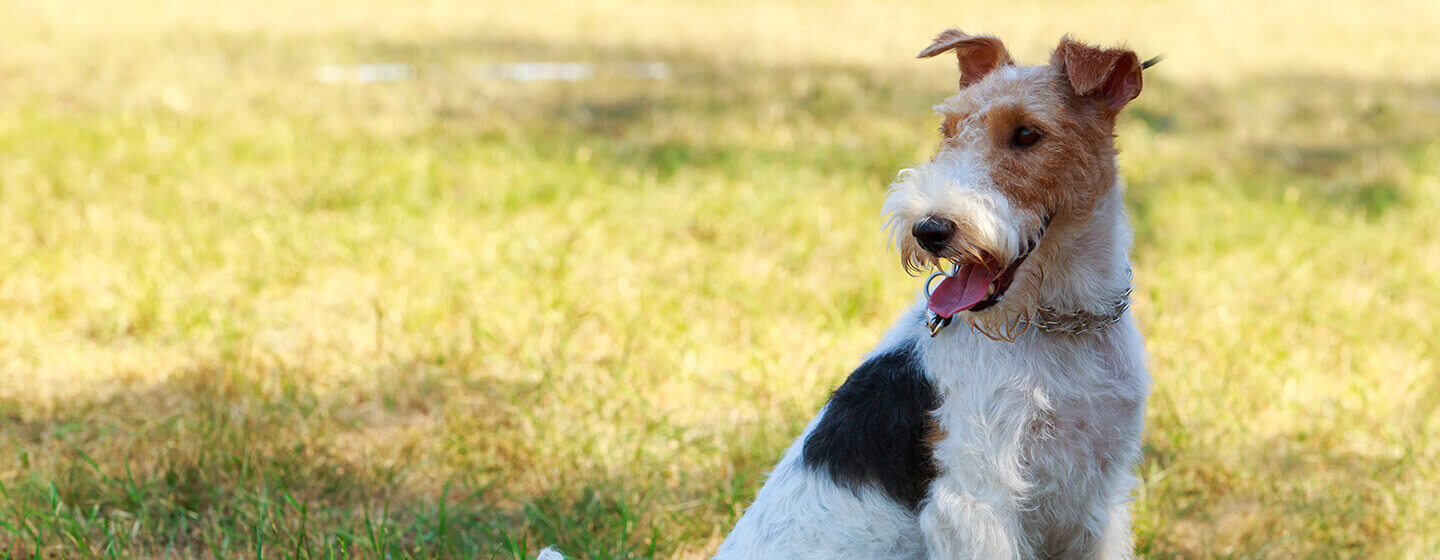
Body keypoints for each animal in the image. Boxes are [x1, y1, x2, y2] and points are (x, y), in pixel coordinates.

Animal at [714, 31, 1152, 558]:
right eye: (948, 129)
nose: (929, 230)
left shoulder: (1101, 491)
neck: (1063, 322)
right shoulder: (976, 498)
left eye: (1027, 134)